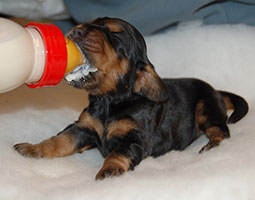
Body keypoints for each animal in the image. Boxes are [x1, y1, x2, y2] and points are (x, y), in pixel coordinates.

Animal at [14, 17, 249, 180]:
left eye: (116, 36)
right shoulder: (82, 128)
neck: (108, 102)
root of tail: (216, 91)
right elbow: (60, 140)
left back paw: (212, 146)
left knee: (222, 131)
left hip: (206, 108)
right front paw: (33, 149)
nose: (78, 30)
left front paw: (110, 170)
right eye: (93, 23)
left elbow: (118, 153)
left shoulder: (134, 138)